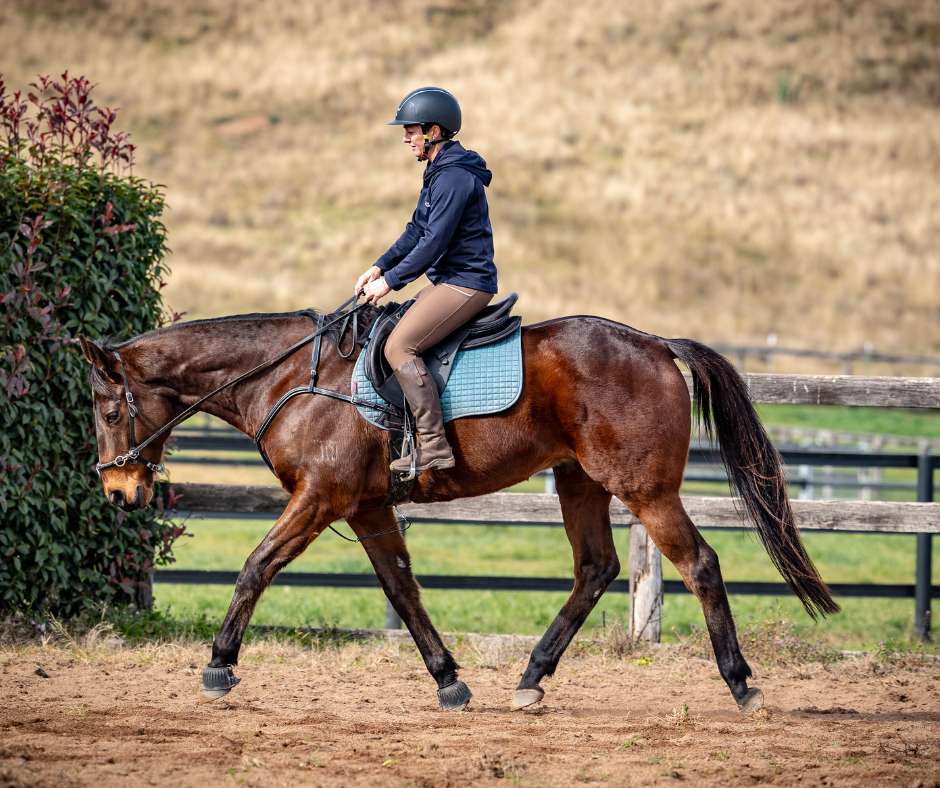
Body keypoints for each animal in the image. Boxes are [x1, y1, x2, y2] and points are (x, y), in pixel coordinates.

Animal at [79, 302, 838, 714]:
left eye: (109, 409)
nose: (118, 493)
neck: (294, 378)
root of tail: (655, 343)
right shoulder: (366, 508)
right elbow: (402, 590)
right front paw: (448, 680)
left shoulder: (320, 498)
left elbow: (256, 566)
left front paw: (219, 664)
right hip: (579, 481)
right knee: (595, 569)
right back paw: (531, 679)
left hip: (643, 489)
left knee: (700, 563)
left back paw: (742, 685)